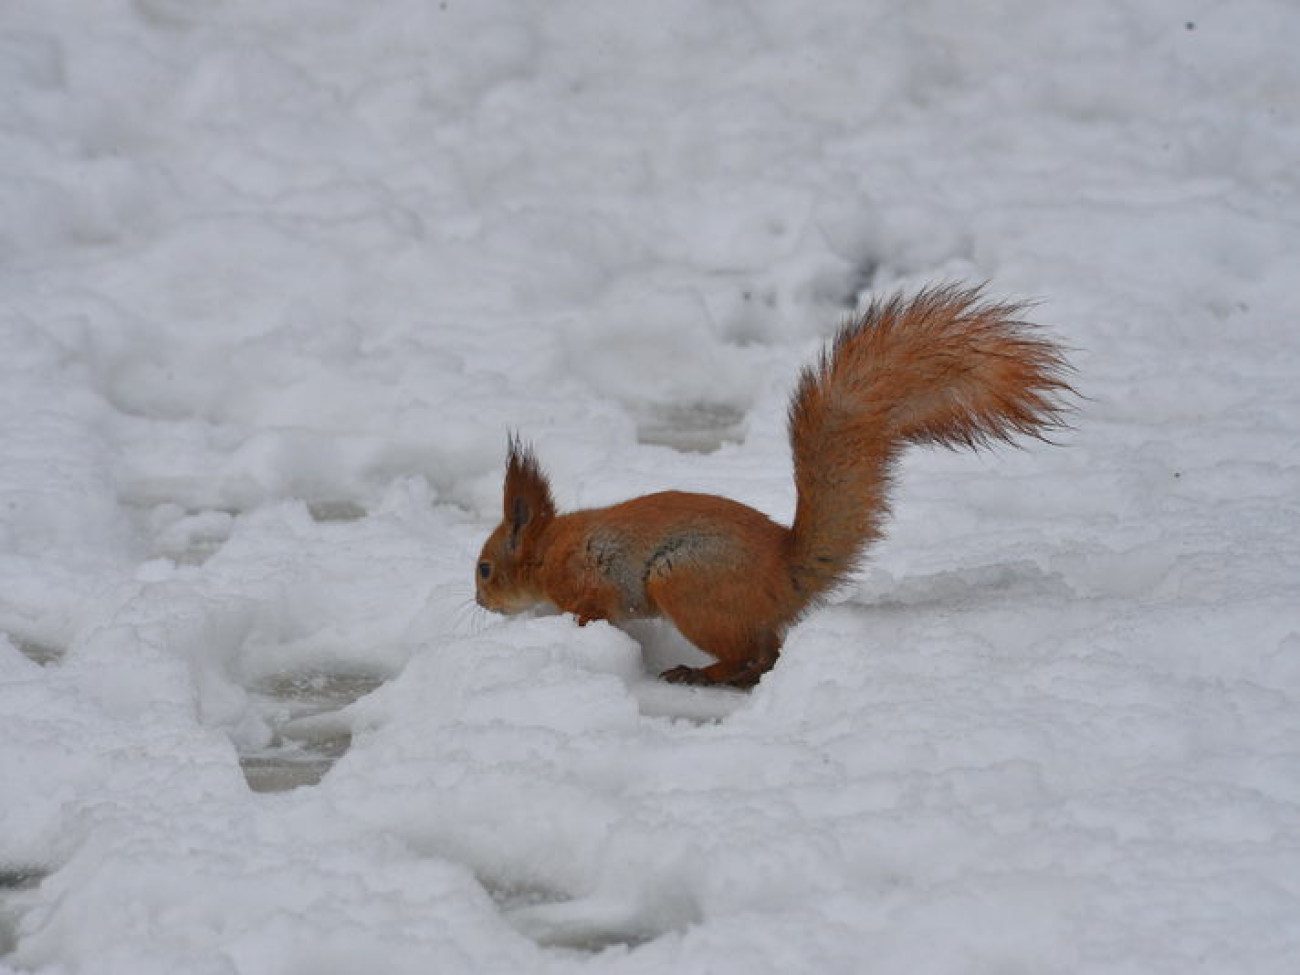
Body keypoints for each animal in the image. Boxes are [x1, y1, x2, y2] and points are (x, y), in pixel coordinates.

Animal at [473, 286, 1071, 691]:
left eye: (484, 568)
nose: (480, 603)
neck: (549, 548)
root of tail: (786, 574)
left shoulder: (591, 584)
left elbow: (593, 611)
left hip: (685, 583)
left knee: (751, 655)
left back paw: (701, 673)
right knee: (767, 651)